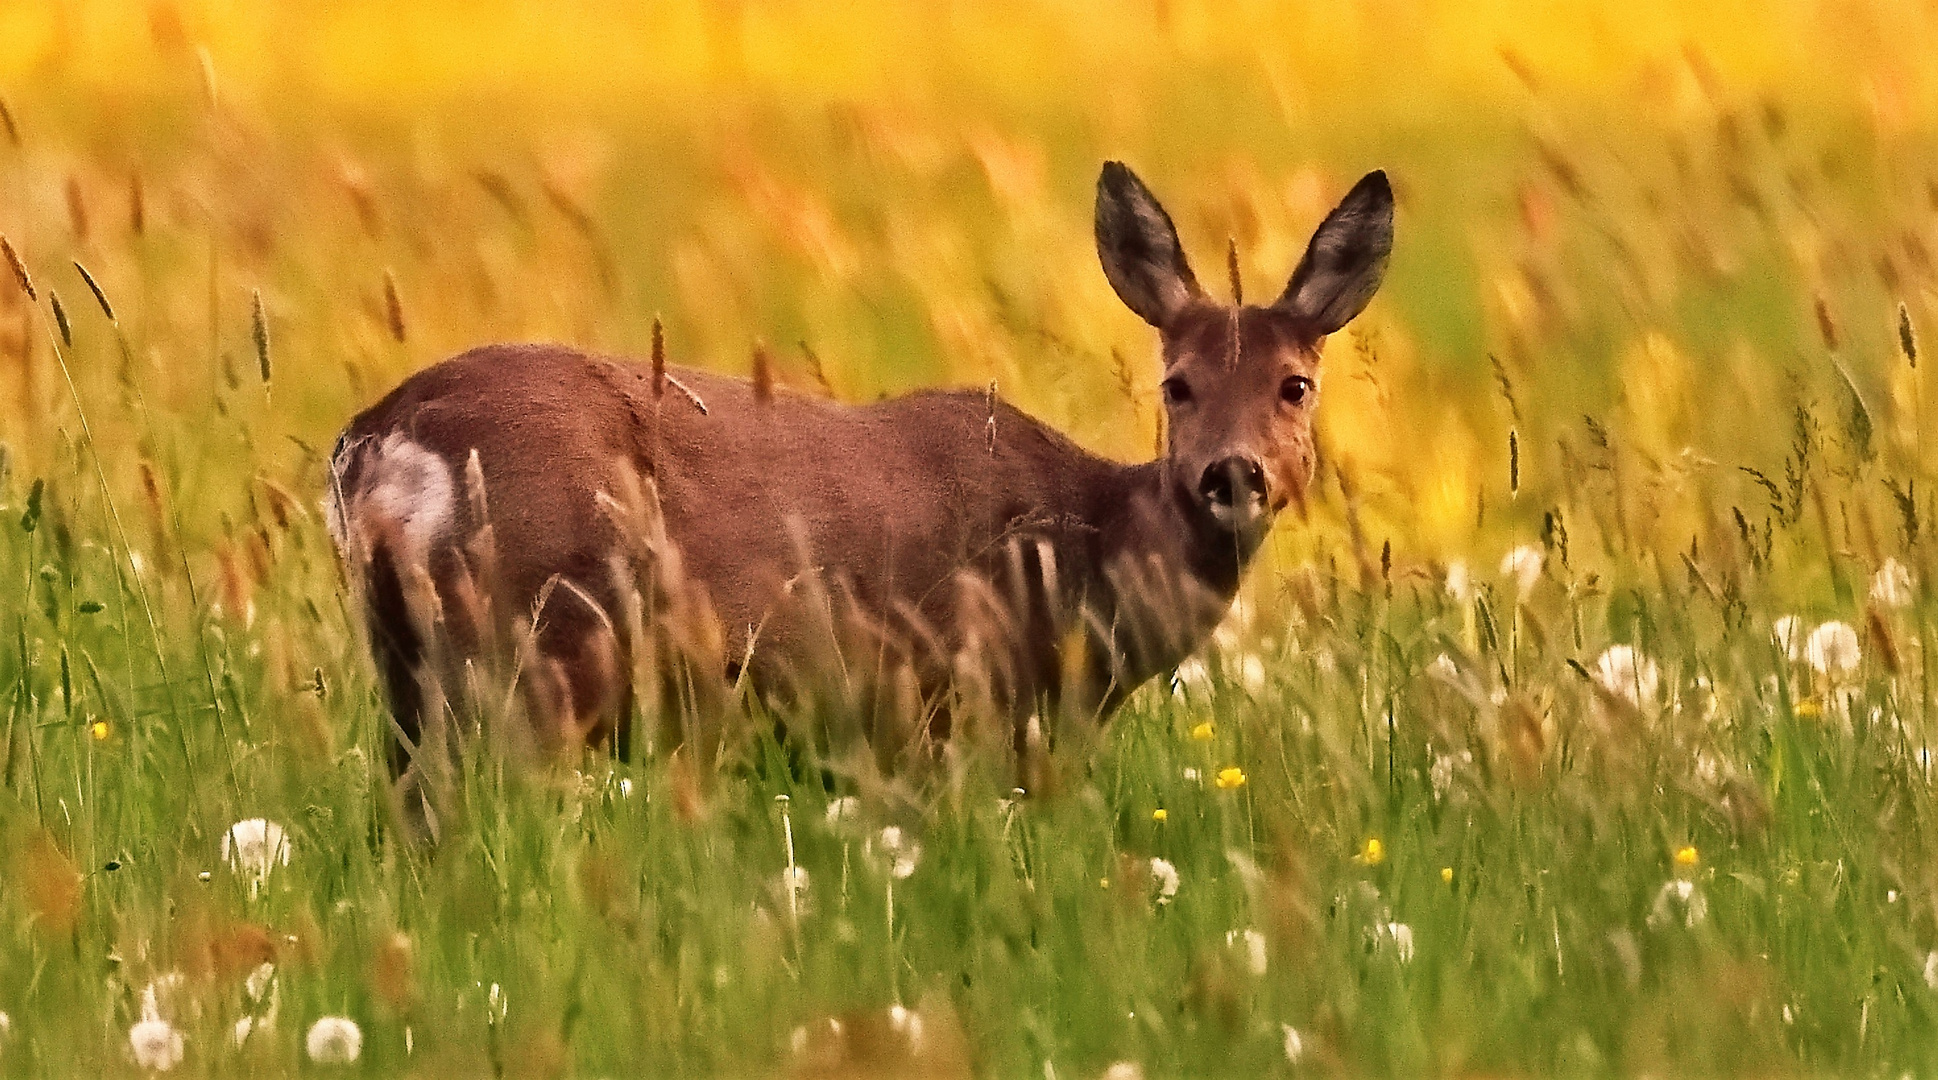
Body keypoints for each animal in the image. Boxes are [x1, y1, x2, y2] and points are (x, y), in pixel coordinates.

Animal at [329, 161, 1395, 818]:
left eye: (1294, 384)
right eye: (1177, 383)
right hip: (537, 655)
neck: (1086, 547)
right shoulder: (950, 705)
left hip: (409, 671)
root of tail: (377, 439)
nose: (1231, 473)